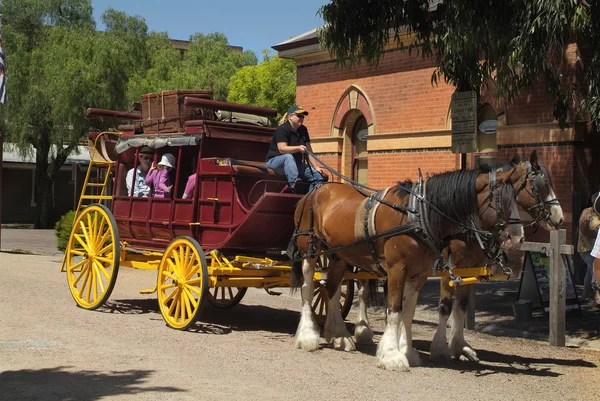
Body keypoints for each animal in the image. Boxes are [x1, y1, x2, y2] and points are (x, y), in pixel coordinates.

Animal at [292, 165, 524, 368]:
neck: (419, 215)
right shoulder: (398, 270)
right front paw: (392, 355)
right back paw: (308, 336)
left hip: (338, 255)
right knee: (308, 289)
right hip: (310, 252)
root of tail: (315, 191)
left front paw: (407, 351)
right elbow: (395, 310)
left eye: (517, 199)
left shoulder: (419, 275)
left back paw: (339, 335)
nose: (518, 238)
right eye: (501, 200)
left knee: (330, 290)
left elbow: (408, 312)